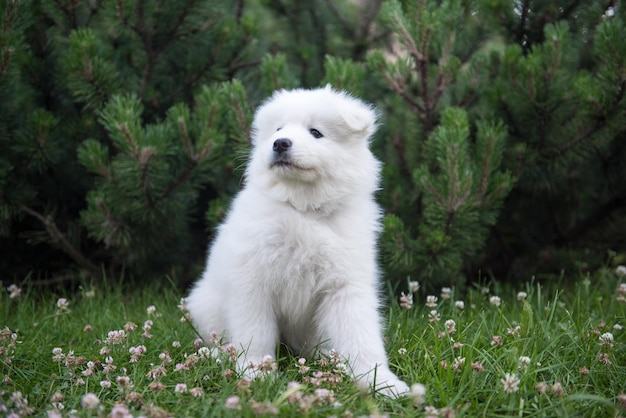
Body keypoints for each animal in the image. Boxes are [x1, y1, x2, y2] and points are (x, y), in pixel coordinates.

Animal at [186, 85, 410, 398]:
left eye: (315, 132)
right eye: (278, 129)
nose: (280, 143)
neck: (303, 209)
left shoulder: (345, 285)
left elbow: (361, 336)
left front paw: (381, 382)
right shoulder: (253, 283)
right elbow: (256, 334)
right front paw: (256, 374)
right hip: (207, 305)